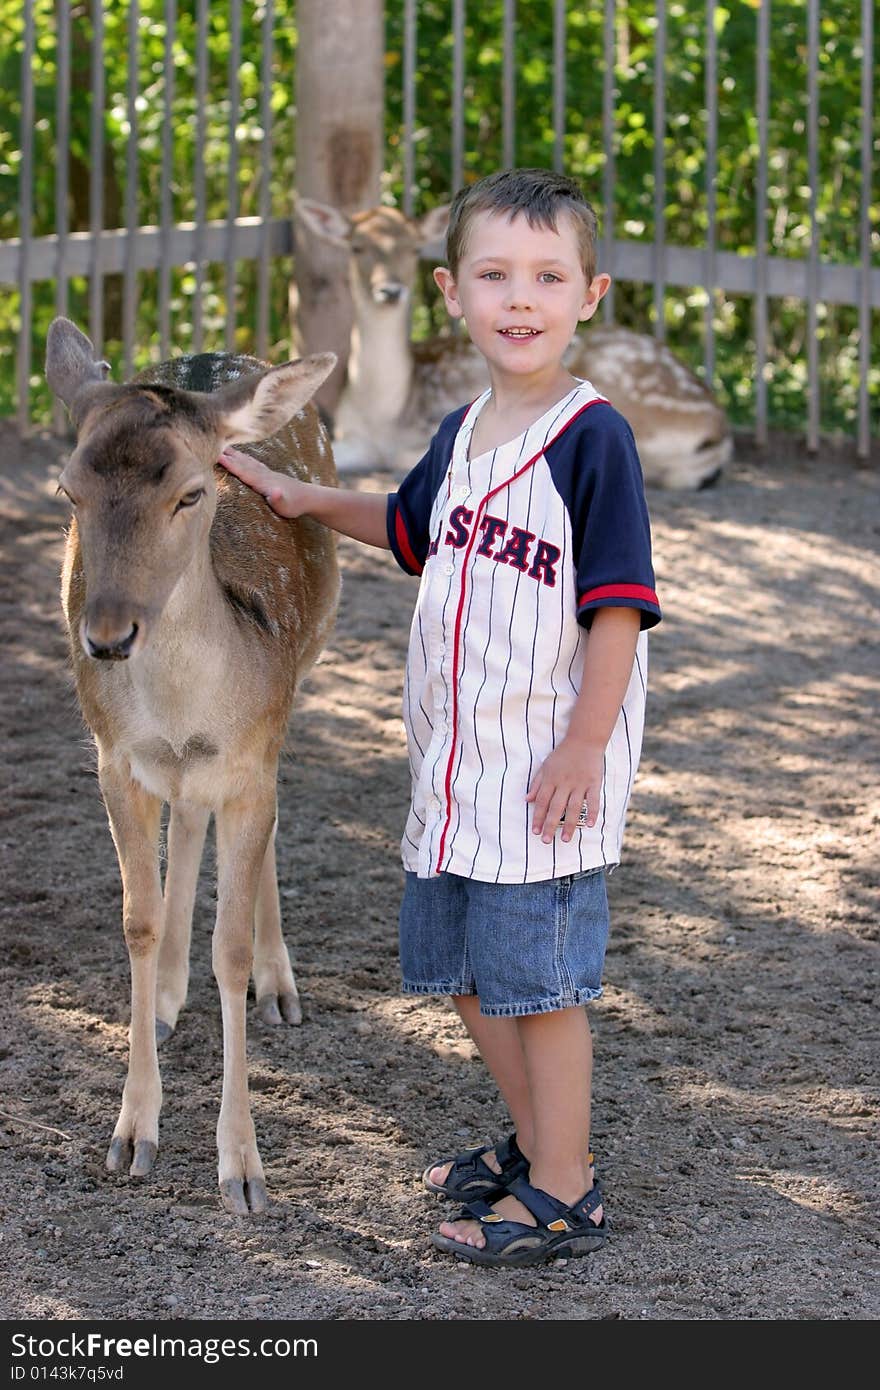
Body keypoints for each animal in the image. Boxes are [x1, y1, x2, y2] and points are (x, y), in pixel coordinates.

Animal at [44, 318, 341, 1217]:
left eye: (188, 494)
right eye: (69, 492)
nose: (105, 637)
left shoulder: (249, 757)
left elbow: (231, 946)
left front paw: (242, 1171)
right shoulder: (114, 759)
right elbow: (136, 920)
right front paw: (132, 1133)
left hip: (301, 678)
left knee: (260, 816)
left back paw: (279, 987)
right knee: (188, 812)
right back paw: (169, 999)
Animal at [298, 198, 728, 492]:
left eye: (414, 248)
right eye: (356, 247)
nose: (390, 290)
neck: (385, 411)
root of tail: (715, 422)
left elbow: (400, 457)